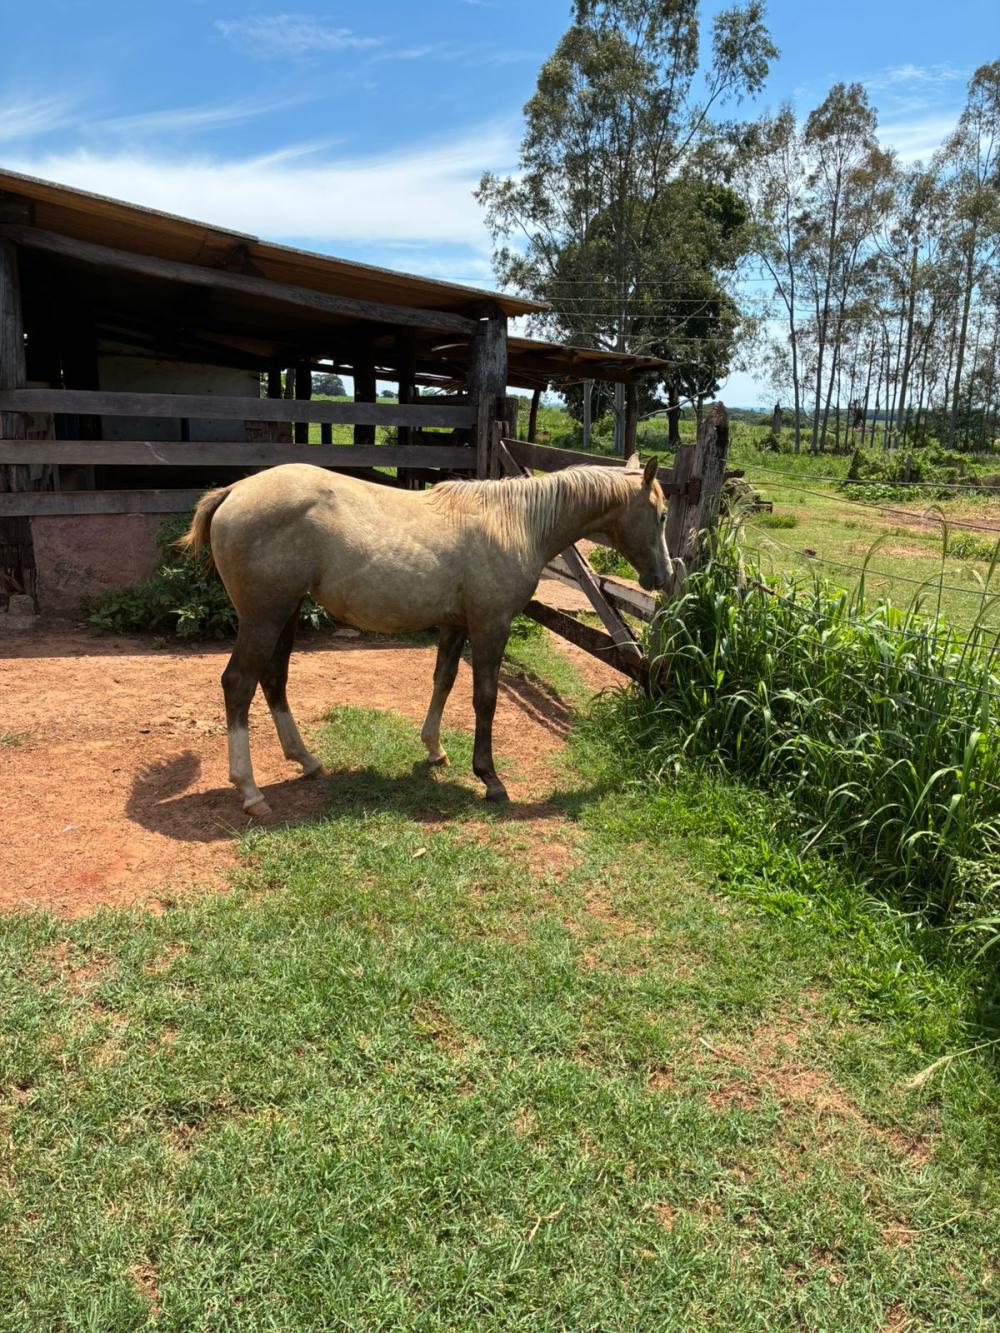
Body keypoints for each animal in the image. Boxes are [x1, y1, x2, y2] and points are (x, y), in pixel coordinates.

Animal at [179, 453, 671, 816]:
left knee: (274, 680)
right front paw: (489, 778)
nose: (663, 578)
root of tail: (235, 491)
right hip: (264, 617)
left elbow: (444, 681)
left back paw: (307, 760)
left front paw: (434, 749)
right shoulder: (491, 625)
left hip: (286, 613)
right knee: (239, 685)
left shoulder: (455, 624)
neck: (516, 522)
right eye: (663, 515)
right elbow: (484, 699)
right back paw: (250, 790)